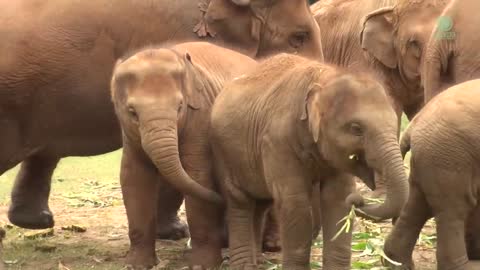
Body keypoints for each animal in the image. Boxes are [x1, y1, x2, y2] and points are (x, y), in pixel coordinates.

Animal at [110, 41, 258, 268]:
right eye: (132, 112)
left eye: (180, 107)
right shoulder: (128, 133)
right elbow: (134, 178)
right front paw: (137, 265)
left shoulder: (201, 117)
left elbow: (198, 176)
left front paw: (201, 266)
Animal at [210, 53, 408, 268]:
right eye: (356, 128)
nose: (359, 199)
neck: (325, 78)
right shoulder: (277, 142)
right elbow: (296, 204)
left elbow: (337, 198)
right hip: (224, 154)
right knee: (240, 202)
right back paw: (244, 265)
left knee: (260, 203)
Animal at [384, 78, 480, 270]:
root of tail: (414, 123)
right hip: (449, 155)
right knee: (455, 209)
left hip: (431, 156)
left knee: (418, 205)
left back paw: (395, 263)